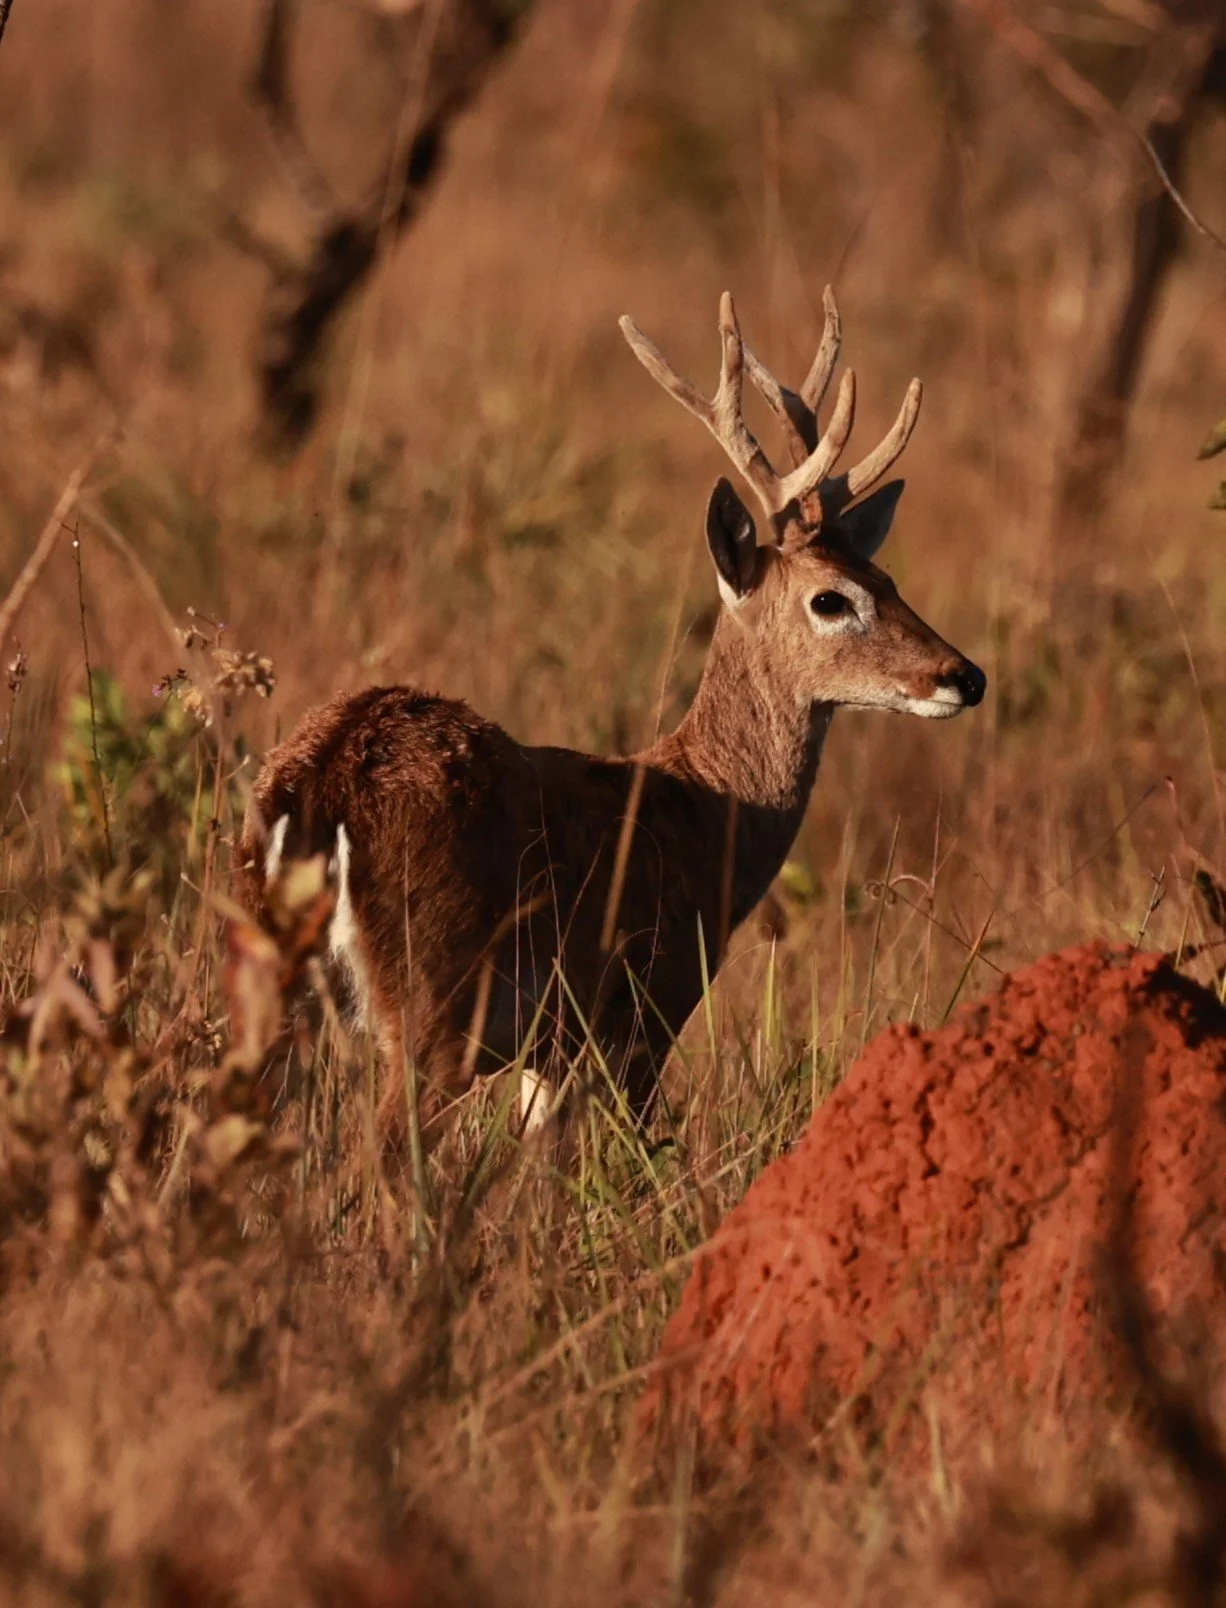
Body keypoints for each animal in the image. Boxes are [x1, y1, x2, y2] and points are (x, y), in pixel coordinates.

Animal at [236, 288, 985, 1150]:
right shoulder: (640, 1013)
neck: (703, 812)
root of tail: (321, 785)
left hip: (272, 992)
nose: (964, 676)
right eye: (832, 599)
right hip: (436, 999)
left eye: (888, 578)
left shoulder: (553, 1049)